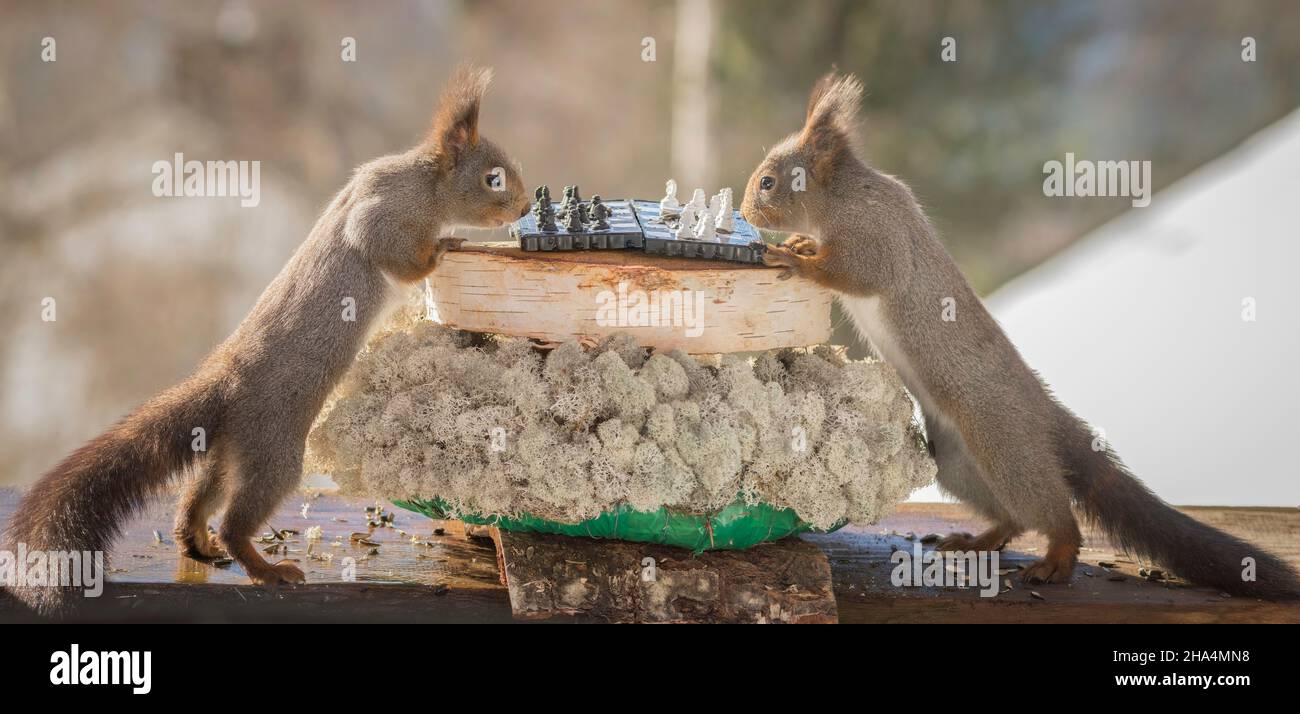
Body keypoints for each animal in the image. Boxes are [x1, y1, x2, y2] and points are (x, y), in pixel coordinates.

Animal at [6, 65, 533, 611]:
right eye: (493, 178)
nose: (525, 204)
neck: (426, 183)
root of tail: (224, 383)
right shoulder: (384, 213)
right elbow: (397, 256)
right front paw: (444, 247)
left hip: (230, 448)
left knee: (198, 498)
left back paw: (197, 542)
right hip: (274, 450)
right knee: (236, 522)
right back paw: (265, 569)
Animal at [743, 70, 1300, 595]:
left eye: (768, 182)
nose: (747, 211)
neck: (838, 197)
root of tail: (1044, 413)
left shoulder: (876, 237)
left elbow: (859, 273)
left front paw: (795, 257)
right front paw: (800, 243)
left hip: (1002, 440)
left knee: (1053, 514)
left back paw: (1057, 559)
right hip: (957, 461)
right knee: (1011, 515)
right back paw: (980, 539)